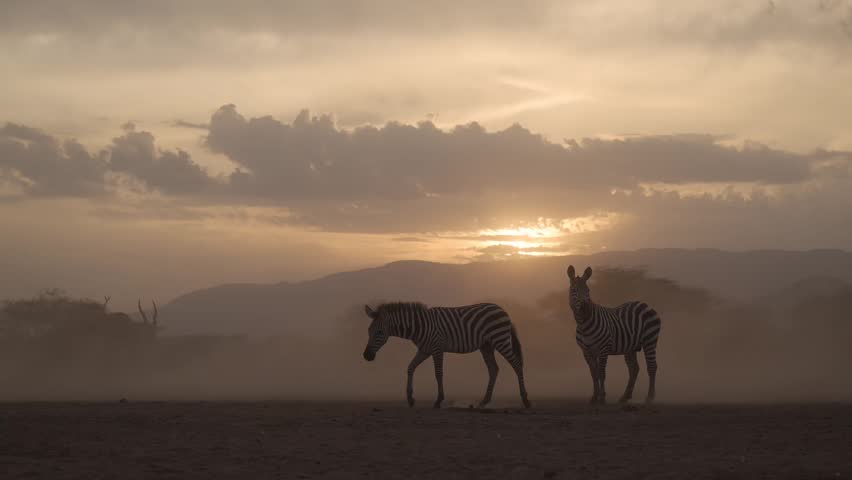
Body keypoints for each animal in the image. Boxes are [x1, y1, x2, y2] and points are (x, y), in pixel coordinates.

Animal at [362, 302, 531, 409]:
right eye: (369, 331)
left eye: (379, 332)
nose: (366, 356)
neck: (420, 326)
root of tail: (501, 309)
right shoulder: (424, 350)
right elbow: (410, 368)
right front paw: (410, 398)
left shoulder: (437, 348)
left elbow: (438, 373)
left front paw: (438, 401)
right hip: (487, 346)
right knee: (494, 369)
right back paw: (484, 401)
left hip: (500, 339)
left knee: (516, 364)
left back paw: (525, 400)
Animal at [566, 265, 662, 405]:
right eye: (574, 290)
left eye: (588, 290)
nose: (585, 309)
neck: (584, 325)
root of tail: (645, 304)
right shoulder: (586, 351)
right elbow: (593, 373)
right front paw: (594, 397)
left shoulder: (603, 348)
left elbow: (601, 373)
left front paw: (602, 397)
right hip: (630, 347)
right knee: (634, 369)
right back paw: (625, 396)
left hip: (650, 340)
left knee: (652, 367)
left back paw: (650, 397)